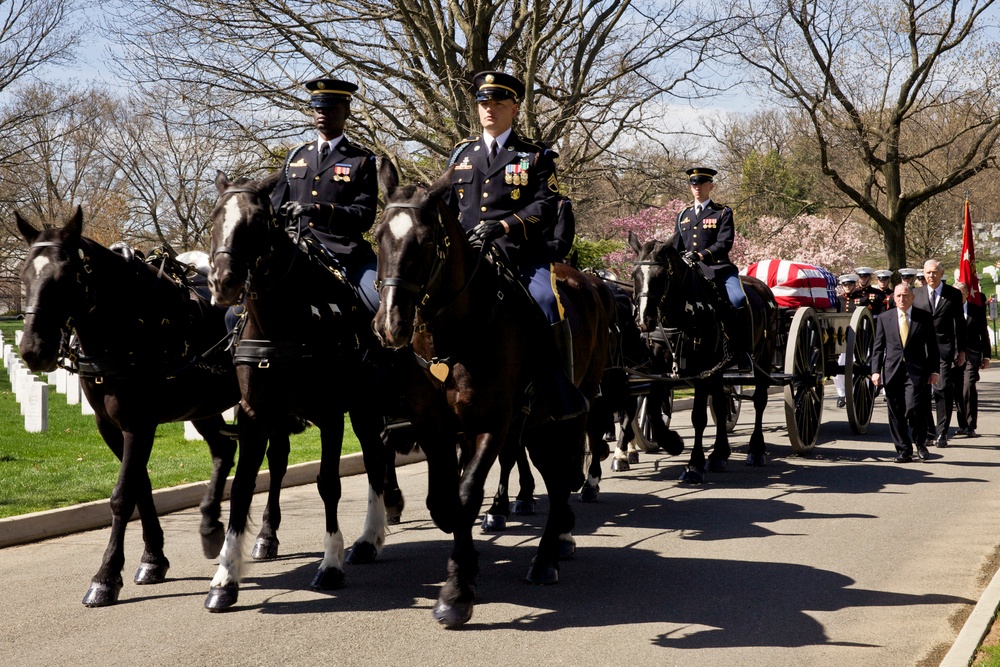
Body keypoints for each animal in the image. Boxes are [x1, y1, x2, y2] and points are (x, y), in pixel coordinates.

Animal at [15, 209, 244, 604]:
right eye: (24, 274)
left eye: (65, 277)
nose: (33, 350)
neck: (133, 322)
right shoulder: (110, 426)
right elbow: (140, 488)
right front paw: (153, 559)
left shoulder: (139, 424)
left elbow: (122, 496)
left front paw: (106, 576)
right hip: (203, 407)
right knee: (223, 450)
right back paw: (211, 525)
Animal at [203, 171, 406, 612]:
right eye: (214, 218)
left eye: (257, 222)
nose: (223, 282)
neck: (282, 321)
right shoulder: (255, 416)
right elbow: (242, 489)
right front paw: (225, 577)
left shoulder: (331, 415)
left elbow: (329, 483)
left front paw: (330, 565)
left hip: (363, 407)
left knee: (375, 457)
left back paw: (370, 537)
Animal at [374, 160, 612, 628]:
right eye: (378, 238)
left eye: (425, 242)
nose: (390, 324)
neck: (454, 333)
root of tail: (589, 283)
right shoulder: (436, 426)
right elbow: (443, 500)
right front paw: (465, 570)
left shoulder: (490, 423)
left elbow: (465, 497)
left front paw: (456, 591)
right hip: (536, 424)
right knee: (551, 476)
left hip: (571, 415)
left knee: (561, 478)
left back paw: (547, 557)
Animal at [628, 232, 776, 482]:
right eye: (635, 275)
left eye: (660, 276)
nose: (643, 321)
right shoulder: (660, 368)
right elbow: (654, 412)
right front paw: (673, 443)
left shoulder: (701, 371)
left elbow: (698, 417)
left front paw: (694, 465)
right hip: (720, 369)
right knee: (721, 403)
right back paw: (719, 454)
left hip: (762, 359)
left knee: (759, 401)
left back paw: (756, 449)